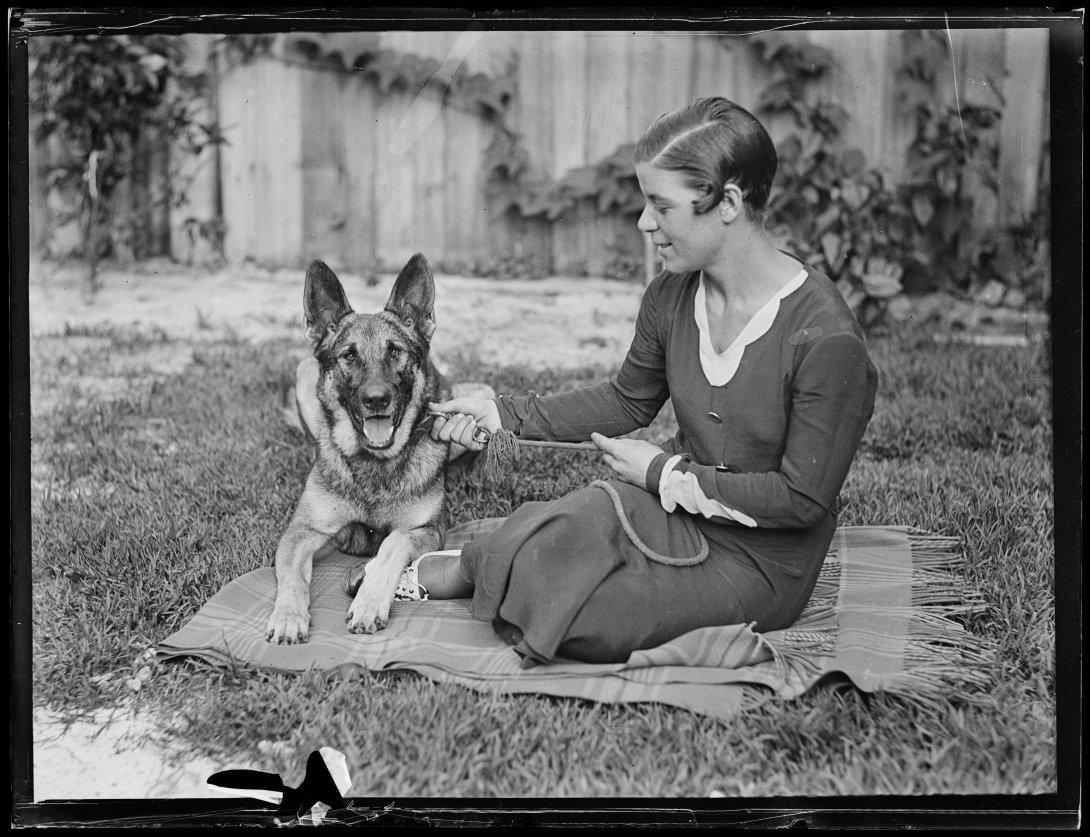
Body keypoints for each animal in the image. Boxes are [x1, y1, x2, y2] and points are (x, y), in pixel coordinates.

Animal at [269, 252, 455, 640]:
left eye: (396, 352)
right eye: (349, 356)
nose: (376, 400)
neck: (374, 462)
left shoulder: (429, 530)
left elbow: (392, 543)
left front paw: (369, 601)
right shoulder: (301, 531)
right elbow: (293, 576)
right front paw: (289, 616)